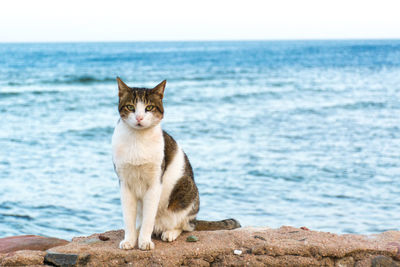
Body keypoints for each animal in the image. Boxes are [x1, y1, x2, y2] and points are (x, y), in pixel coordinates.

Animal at [111, 77, 239, 251]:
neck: (137, 139)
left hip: (187, 191)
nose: (139, 118)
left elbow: (149, 218)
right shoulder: (124, 183)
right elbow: (128, 217)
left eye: (149, 107)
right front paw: (130, 240)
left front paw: (144, 241)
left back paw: (169, 232)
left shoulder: (155, 182)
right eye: (131, 107)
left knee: (185, 225)